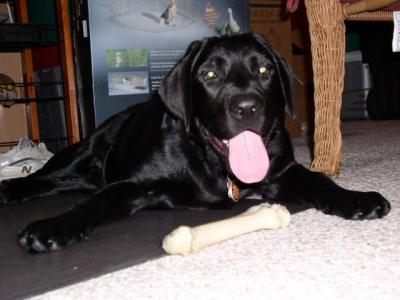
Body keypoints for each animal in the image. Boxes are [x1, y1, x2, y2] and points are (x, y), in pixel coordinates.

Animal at [0, 32, 390, 253]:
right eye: (210, 75)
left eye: (264, 71)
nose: (247, 107)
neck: (214, 164)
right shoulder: (132, 185)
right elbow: (97, 202)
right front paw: (54, 227)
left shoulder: (283, 172)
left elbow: (320, 180)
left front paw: (356, 199)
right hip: (80, 154)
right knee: (45, 179)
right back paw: (12, 188)